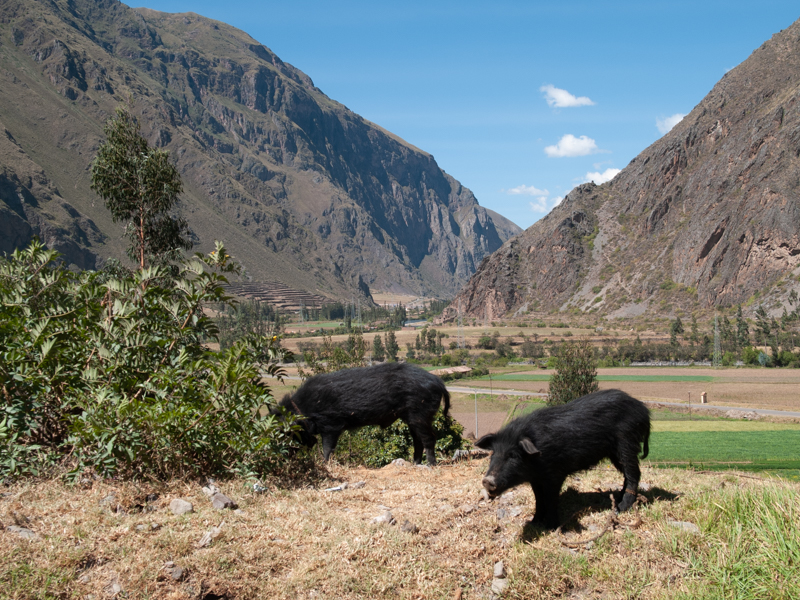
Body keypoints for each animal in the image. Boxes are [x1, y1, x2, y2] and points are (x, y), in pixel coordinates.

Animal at [278, 360, 450, 464]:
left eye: (286, 432)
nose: (284, 455)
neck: (303, 409)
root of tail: (439, 383)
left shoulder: (331, 424)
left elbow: (327, 448)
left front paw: (325, 464)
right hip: (411, 417)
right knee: (417, 440)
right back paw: (415, 464)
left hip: (421, 413)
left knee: (430, 438)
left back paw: (430, 465)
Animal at [476, 386, 648, 528]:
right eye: (493, 453)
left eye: (513, 455)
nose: (487, 480)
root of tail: (643, 410)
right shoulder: (536, 478)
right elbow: (539, 498)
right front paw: (534, 522)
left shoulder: (555, 474)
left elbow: (551, 498)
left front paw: (551, 527)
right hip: (614, 453)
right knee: (627, 474)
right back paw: (618, 498)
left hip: (627, 442)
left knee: (634, 473)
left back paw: (621, 508)